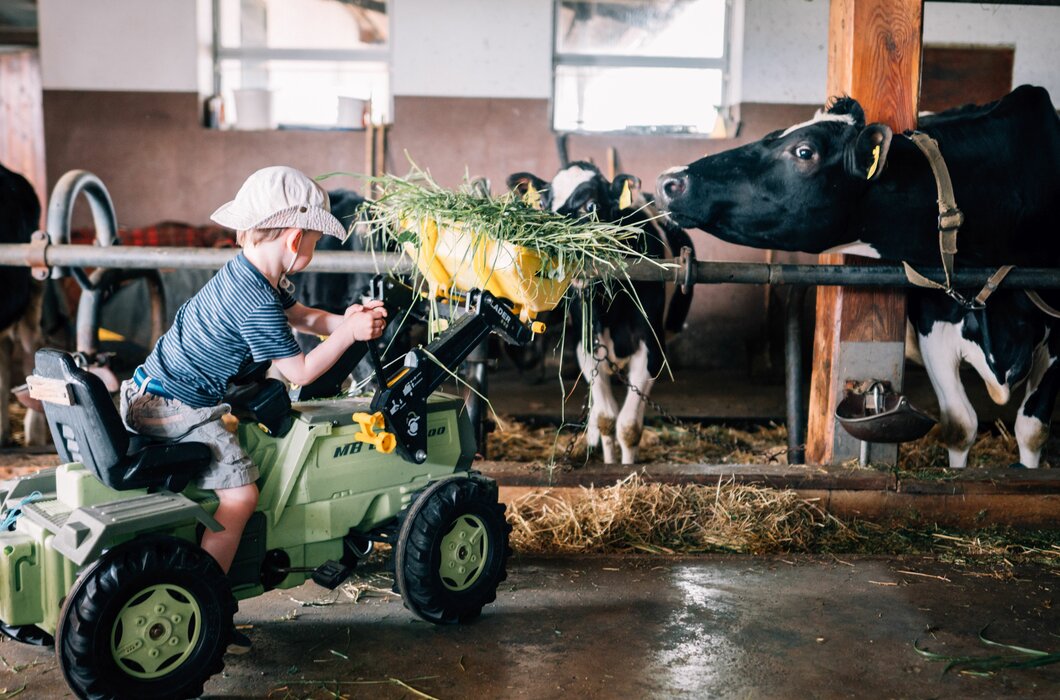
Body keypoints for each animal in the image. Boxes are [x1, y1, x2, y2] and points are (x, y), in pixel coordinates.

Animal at [506, 161, 695, 462]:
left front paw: (626, 467)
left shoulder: (651, 349)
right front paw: (609, 461)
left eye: (591, 205)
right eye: (544, 204)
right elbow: (607, 418)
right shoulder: (587, 346)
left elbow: (629, 426)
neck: (610, 306)